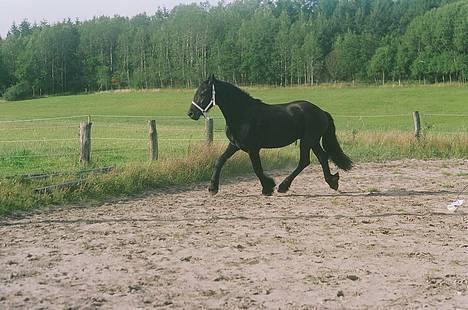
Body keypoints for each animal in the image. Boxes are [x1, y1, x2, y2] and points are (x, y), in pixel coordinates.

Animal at [186, 75, 352, 195]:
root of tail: (321, 112)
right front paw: (212, 188)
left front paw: (268, 187)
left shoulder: (253, 149)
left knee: (304, 161)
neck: (243, 114)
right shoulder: (235, 144)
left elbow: (257, 168)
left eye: (203, 93)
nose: (191, 113)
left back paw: (283, 186)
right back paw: (332, 182)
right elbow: (219, 160)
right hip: (313, 141)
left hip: (307, 140)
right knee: (322, 157)